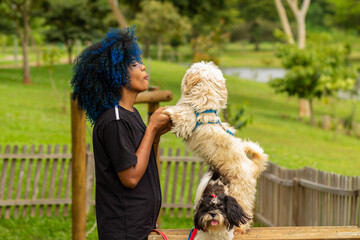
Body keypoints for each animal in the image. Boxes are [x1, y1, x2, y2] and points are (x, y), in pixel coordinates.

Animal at [165, 61, 268, 232]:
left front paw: (167, 110)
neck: (204, 104)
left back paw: (238, 228)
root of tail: (253, 166)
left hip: (239, 192)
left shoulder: (185, 123)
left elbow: (178, 114)